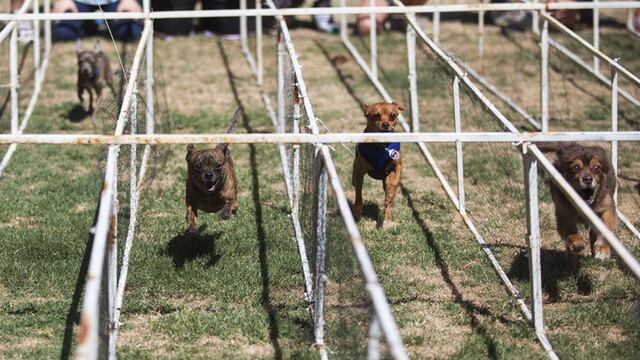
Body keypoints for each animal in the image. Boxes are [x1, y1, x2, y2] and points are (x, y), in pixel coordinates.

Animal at [352, 100, 402, 228]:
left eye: (393, 115)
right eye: (376, 115)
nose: (385, 124)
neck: (381, 147)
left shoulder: (398, 165)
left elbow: (395, 183)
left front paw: (391, 194)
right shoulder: (359, 171)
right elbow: (358, 192)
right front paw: (358, 209)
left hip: (386, 179)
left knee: (387, 203)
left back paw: (387, 220)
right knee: (355, 183)